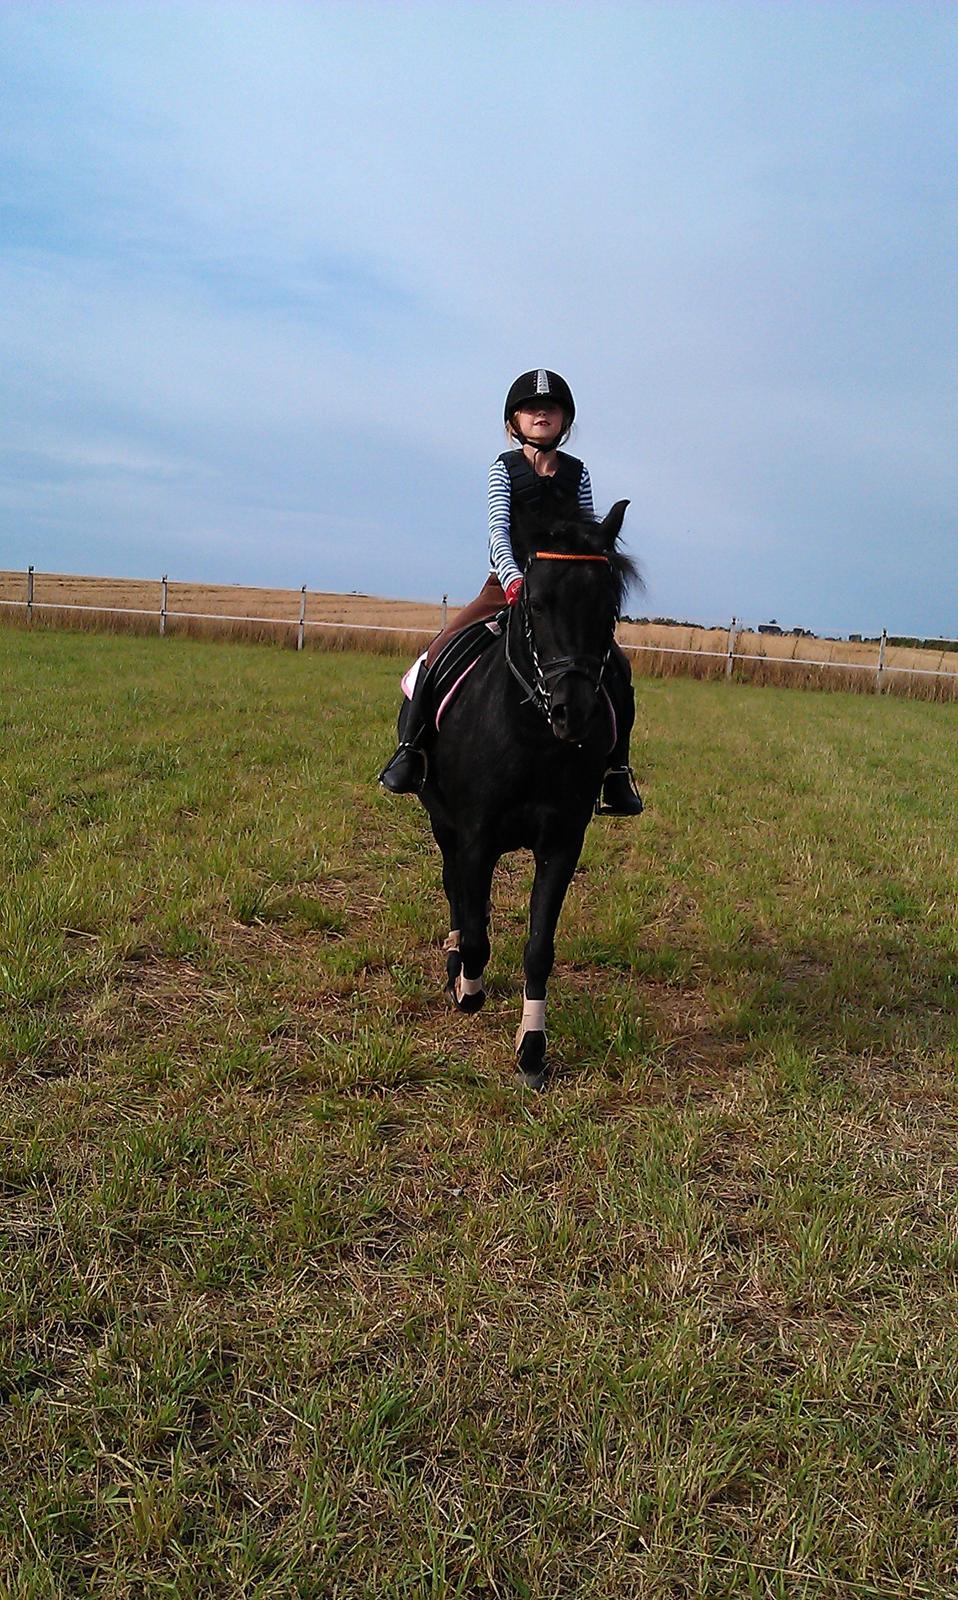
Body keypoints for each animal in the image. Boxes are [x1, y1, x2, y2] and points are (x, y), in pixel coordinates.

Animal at [413, 498, 637, 1087]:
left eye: (610, 608)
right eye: (536, 603)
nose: (574, 713)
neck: (532, 736)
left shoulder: (561, 844)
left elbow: (538, 948)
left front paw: (532, 1049)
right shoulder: (475, 837)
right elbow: (474, 927)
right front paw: (467, 988)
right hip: (441, 821)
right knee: (454, 890)